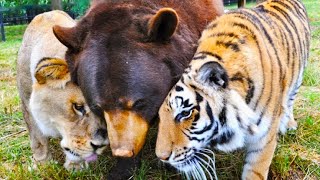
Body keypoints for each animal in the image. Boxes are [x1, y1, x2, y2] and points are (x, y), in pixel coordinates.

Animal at [16, 10, 109, 170]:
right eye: (78, 107)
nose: (100, 145)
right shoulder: (26, 102)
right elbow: (38, 139)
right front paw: (43, 164)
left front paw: (76, 166)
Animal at [155, 0, 310, 179]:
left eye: (185, 113)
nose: (161, 157)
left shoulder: (264, 138)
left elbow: (255, 171)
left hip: (298, 78)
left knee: (290, 99)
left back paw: (289, 123)